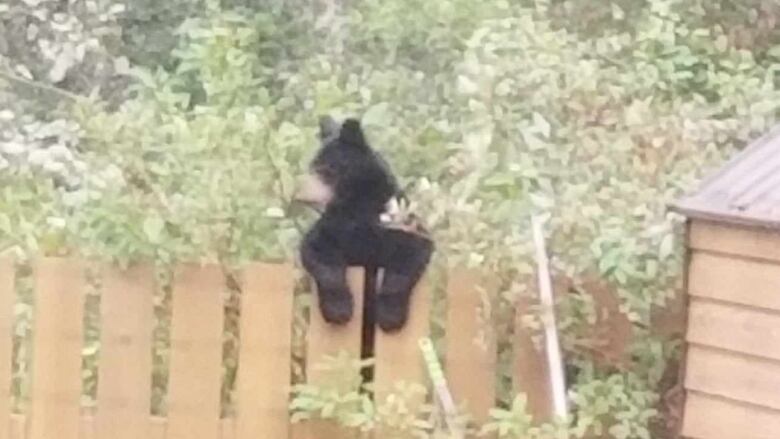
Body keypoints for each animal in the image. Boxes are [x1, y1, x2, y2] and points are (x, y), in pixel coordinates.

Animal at [296, 117, 436, 334]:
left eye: (325, 168)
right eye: (312, 167)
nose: (303, 194)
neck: (358, 204)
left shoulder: (399, 221)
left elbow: (408, 258)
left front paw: (390, 317)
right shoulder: (333, 226)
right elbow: (320, 255)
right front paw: (339, 310)